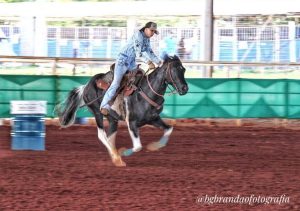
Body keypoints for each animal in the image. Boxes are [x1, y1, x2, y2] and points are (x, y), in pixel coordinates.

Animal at [55, 55, 189, 167]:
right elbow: (138, 147)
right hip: (97, 113)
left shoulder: (154, 119)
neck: (146, 92)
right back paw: (117, 158)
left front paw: (154, 146)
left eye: (183, 69)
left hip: (112, 119)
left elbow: (169, 129)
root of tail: (86, 85)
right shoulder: (132, 123)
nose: (185, 88)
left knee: (110, 137)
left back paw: (115, 157)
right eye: (174, 70)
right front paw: (123, 152)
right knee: (102, 135)